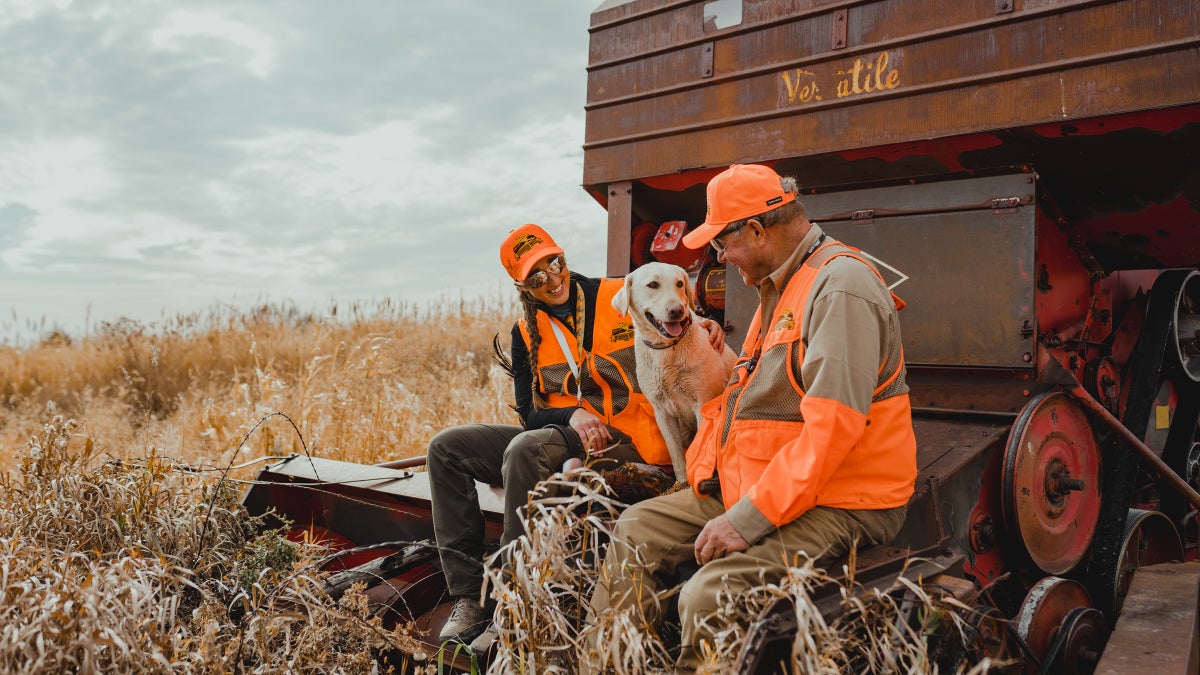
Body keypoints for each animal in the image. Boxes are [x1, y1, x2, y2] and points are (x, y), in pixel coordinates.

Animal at [614, 258, 734, 478]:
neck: (666, 350)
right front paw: (682, 481)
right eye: (653, 285)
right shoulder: (662, 412)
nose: (677, 310)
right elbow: (677, 456)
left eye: (679, 284)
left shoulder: (702, 403)